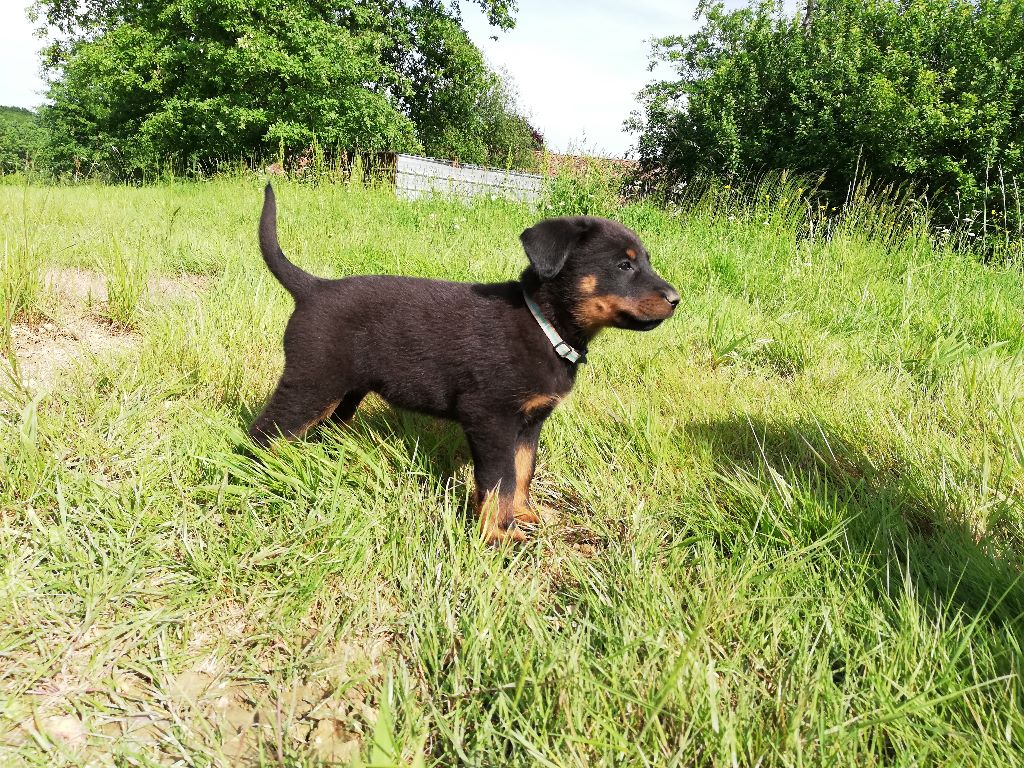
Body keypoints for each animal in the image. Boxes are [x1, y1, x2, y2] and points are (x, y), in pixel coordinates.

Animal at [250, 184, 679, 543]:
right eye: (623, 266)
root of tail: (313, 288)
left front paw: (524, 515)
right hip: (312, 381)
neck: (545, 325)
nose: (677, 299)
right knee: (265, 432)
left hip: (346, 390)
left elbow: (523, 470)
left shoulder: (530, 421)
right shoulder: (490, 417)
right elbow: (498, 479)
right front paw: (498, 535)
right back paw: (261, 475)